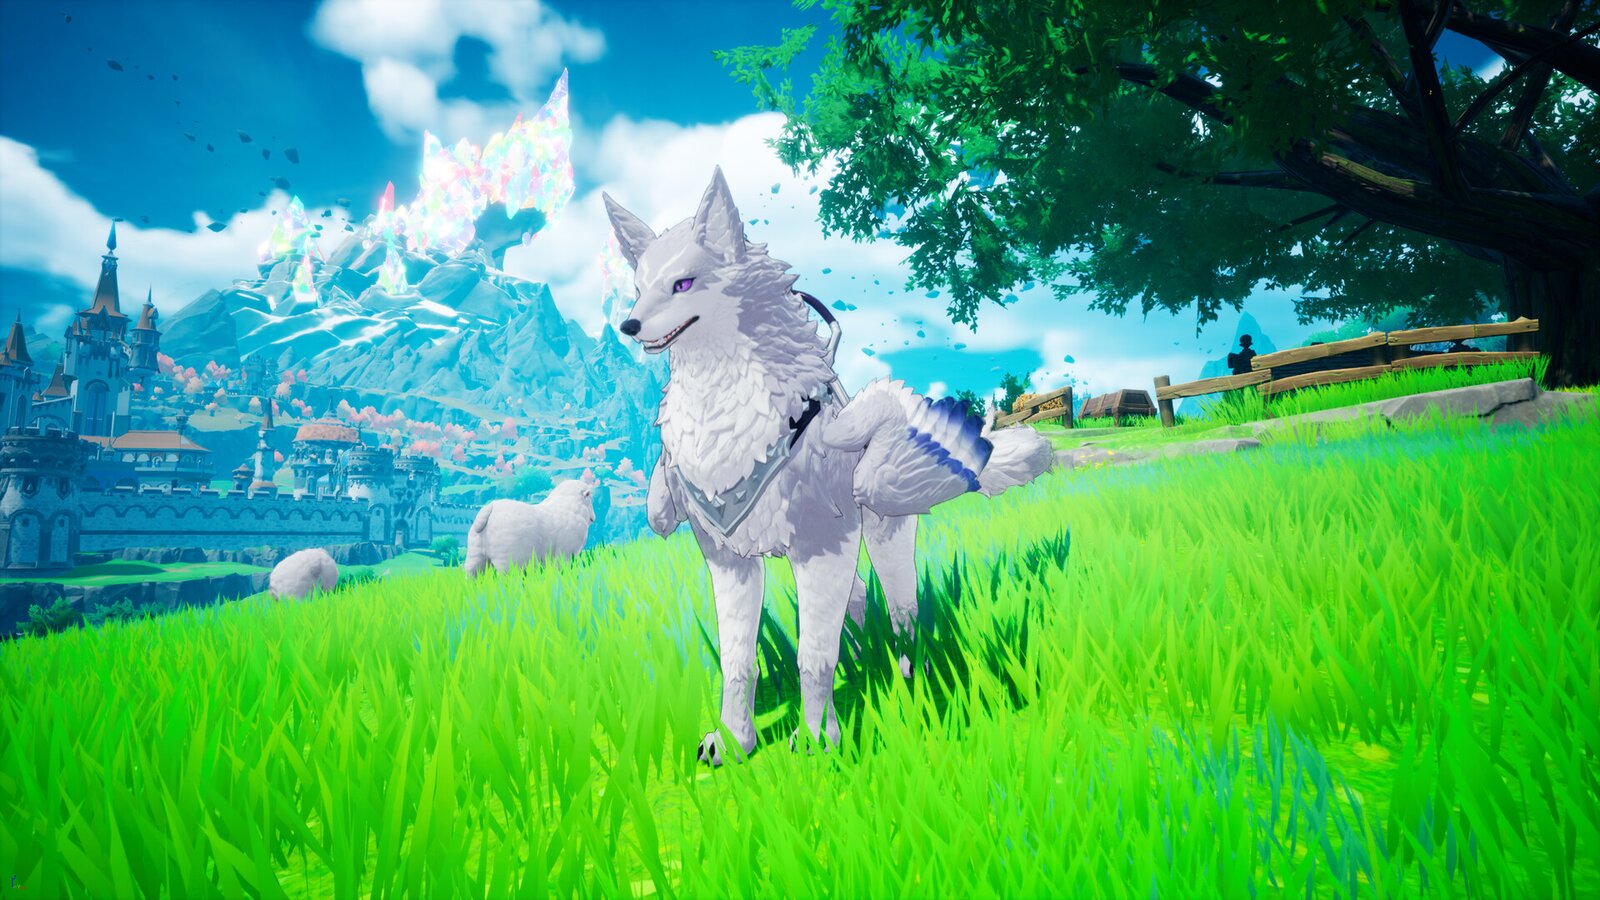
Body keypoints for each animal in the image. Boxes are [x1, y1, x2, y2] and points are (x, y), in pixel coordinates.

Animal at [605, 167, 1055, 766]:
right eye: (639, 289)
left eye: (682, 284)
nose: (628, 325)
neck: (726, 428)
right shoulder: (728, 559)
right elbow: (738, 661)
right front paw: (735, 740)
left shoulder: (822, 546)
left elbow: (812, 656)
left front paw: (819, 740)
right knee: (859, 603)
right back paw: (865, 659)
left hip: (883, 525)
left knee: (903, 611)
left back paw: (909, 674)